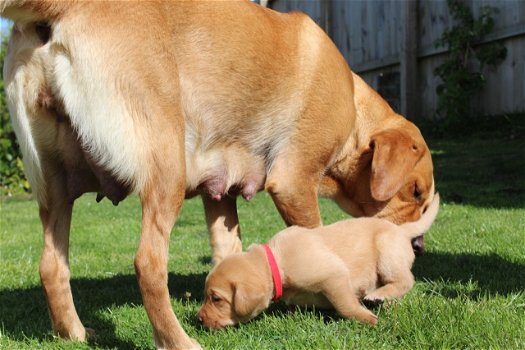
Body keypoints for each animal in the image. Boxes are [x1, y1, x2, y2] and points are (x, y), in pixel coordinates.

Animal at [196, 194, 438, 328]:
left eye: (216, 299)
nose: (198, 319)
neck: (277, 262)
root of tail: (401, 230)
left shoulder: (334, 276)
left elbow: (346, 305)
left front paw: (367, 318)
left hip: (387, 252)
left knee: (406, 280)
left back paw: (377, 297)